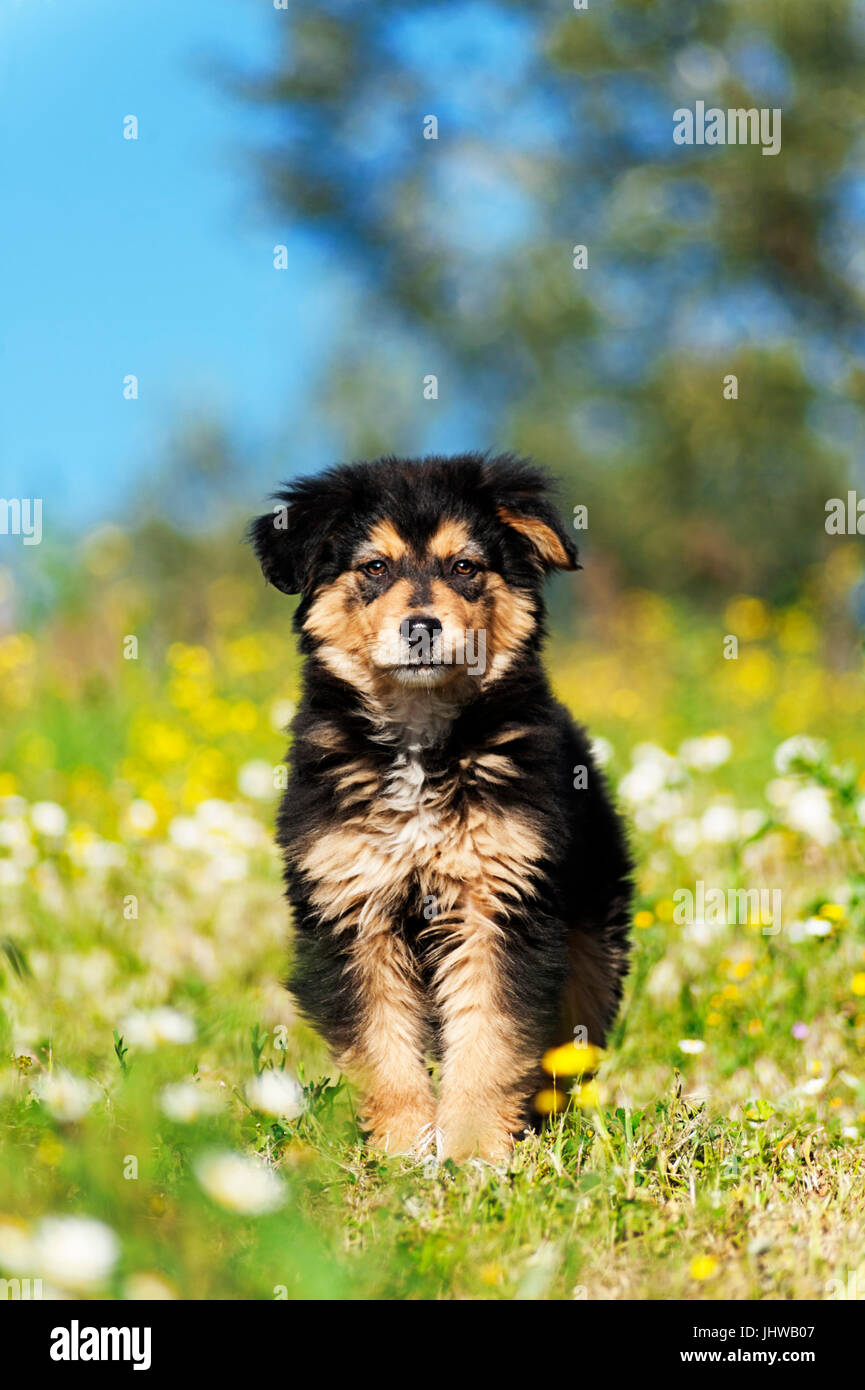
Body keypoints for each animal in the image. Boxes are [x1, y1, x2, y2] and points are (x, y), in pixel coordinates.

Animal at [247, 455, 634, 1162]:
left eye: (465, 567)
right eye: (374, 567)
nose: (422, 627)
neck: (420, 742)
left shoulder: (499, 901)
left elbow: (488, 1038)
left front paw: (474, 1150)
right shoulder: (353, 908)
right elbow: (383, 1046)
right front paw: (403, 1149)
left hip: (595, 941)